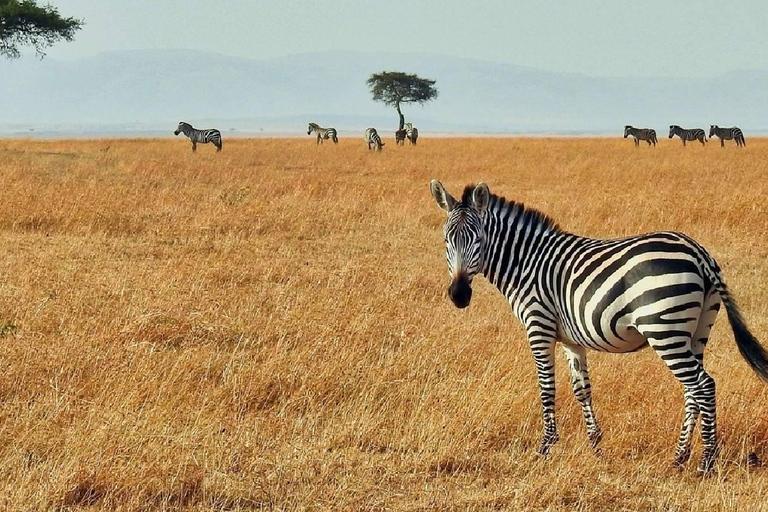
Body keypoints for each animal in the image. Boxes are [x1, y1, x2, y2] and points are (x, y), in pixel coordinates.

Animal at [428, 181, 764, 476]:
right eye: (447, 240)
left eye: (477, 239)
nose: (459, 295)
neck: (526, 263)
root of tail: (698, 253)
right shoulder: (571, 339)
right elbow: (582, 389)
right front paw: (596, 445)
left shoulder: (539, 326)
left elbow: (547, 387)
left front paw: (545, 447)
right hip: (696, 332)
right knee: (692, 390)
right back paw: (680, 457)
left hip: (664, 329)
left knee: (704, 385)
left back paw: (706, 462)